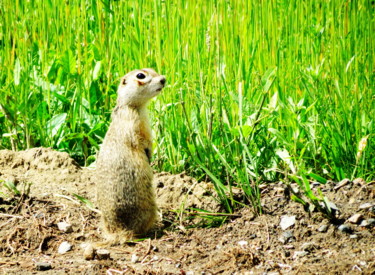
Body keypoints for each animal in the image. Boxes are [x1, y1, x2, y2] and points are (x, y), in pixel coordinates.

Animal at [96, 68, 167, 245]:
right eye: (140, 75)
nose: (163, 79)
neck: (131, 106)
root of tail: (118, 231)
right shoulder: (137, 125)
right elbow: (143, 142)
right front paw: (149, 156)